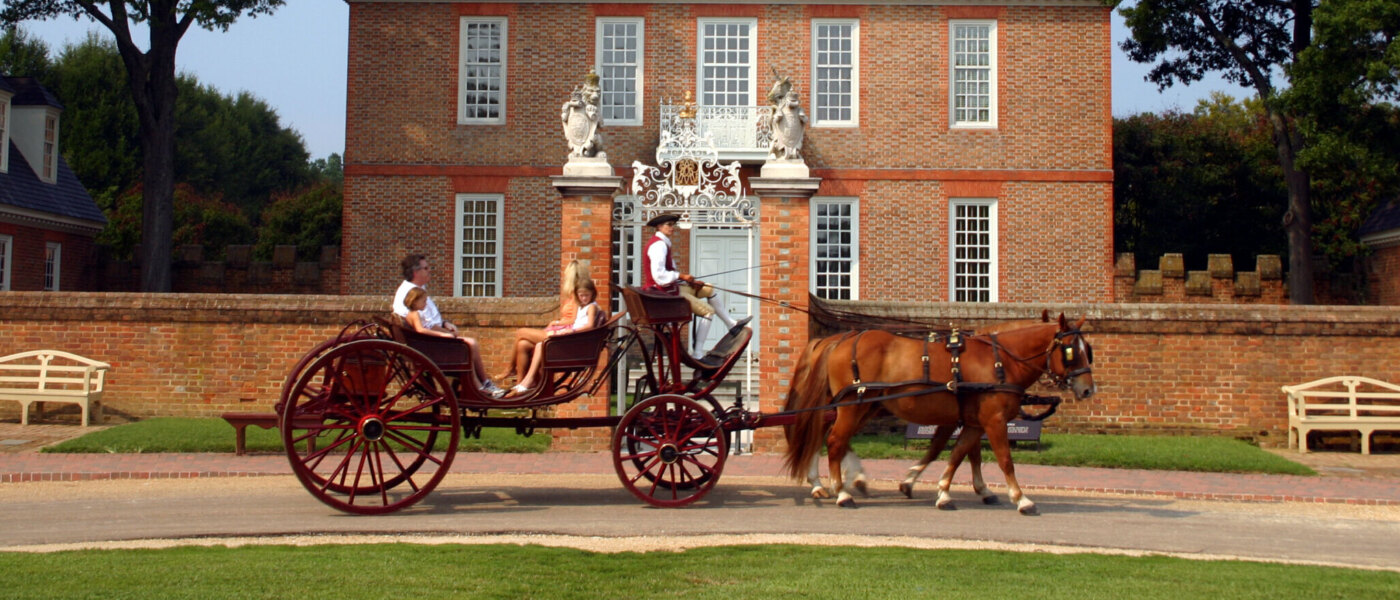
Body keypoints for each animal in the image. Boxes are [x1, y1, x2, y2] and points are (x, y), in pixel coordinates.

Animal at [789, 313, 1092, 514]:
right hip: (854, 405)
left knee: (827, 436)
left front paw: (943, 491)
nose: (1088, 389)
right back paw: (840, 492)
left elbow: (957, 454)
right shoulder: (993, 420)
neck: (1000, 361)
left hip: (863, 405)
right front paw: (1021, 498)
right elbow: (1004, 460)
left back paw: (839, 482)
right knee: (833, 441)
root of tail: (842, 340)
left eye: (1087, 350)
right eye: (1070, 352)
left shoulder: (972, 422)